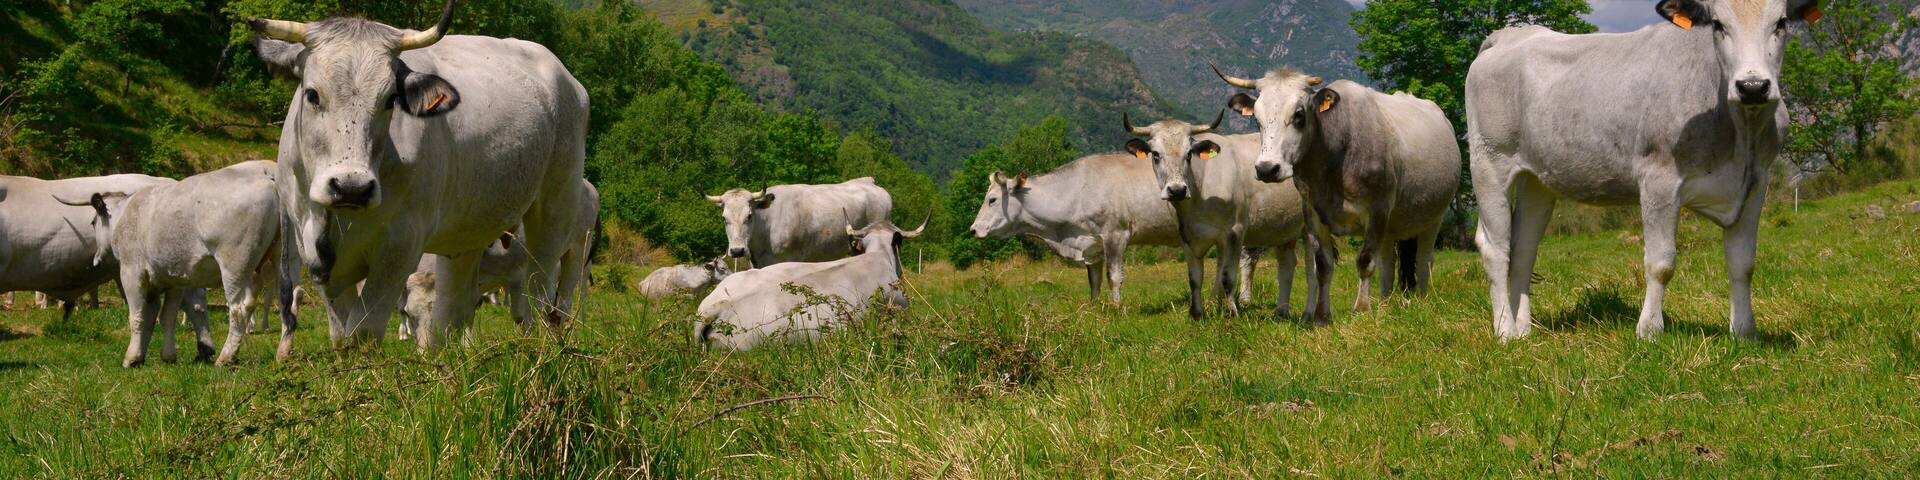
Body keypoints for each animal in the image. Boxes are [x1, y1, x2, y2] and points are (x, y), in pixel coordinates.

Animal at [67, 161, 284, 367]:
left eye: (93, 222)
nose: (97, 259)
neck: (124, 215)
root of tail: (267, 173)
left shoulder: (131, 273)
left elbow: (137, 316)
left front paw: (131, 357)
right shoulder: (172, 280)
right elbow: (163, 317)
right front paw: (163, 355)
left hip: (234, 265)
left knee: (239, 309)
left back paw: (226, 357)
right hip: (280, 259)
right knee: (285, 301)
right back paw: (283, 354)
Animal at [249, 0, 590, 350]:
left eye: (390, 100)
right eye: (313, 94)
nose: (351, 187)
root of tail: (565, 77)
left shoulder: (401, 244)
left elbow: (364, 331)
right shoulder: (312, 248)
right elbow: (341, 334)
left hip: (556, 208)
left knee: (541, 292)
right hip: (469, 229)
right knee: (455, 307)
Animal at [967, 149, 1313, 317]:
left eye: (992, 199)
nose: (972, 230)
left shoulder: (1115, 234)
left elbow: (1114, 277)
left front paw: (1117, 308)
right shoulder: (1092, 243)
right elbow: (1094, 281)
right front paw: (1095, 308)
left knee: (1251, 261)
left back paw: (1243, 300)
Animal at [1215, 65, 1461, 322]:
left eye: (1299, 115)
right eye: (1257, 118)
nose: (1266, 168)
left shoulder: (1377, 209)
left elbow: (1365, 260)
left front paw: (1361, 310)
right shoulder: (1312, 213)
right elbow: (1323, 265)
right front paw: (1322, 316)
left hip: (1434, 217)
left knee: (1424, 260)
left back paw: (1421, 301)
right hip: (1391, 225)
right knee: (1388, 264)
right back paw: (1384, 307)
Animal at [1464, 0, 1823, 340]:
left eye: (1781, 22)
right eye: (1718, 24)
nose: (1752, 86)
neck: (1739, 127)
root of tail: (1510, 35)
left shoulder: (1755, 183)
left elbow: (1743, 263)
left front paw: (1745, 332)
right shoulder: (1659, 179)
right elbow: (1661, 263)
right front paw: (1649, 330)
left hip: (1537, 179)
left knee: (1523, 248)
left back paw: (1524, 329)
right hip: (1489, 162)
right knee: (1496, 248)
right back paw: (1505, 331)